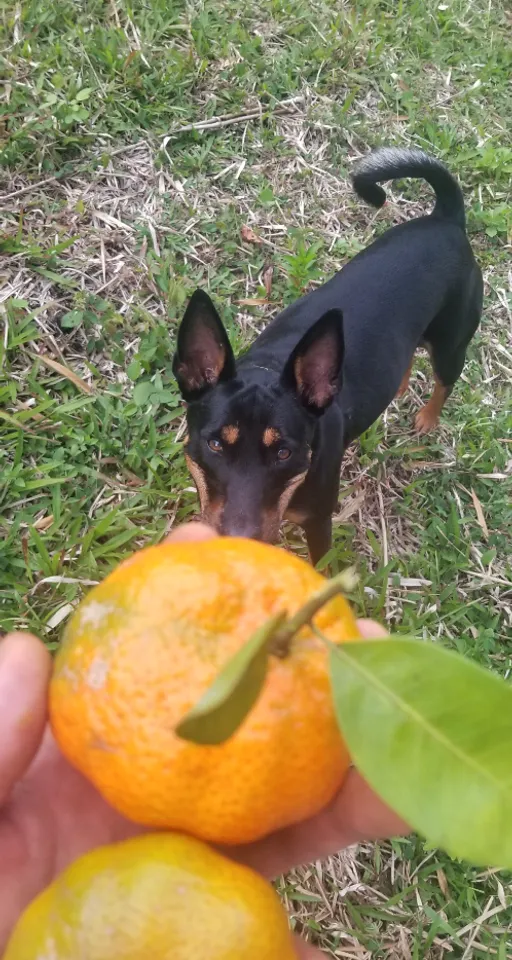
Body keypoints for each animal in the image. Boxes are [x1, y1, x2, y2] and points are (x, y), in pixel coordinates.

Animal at [174, 147, 482, 568]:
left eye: (284, 452)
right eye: (215, 445)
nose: (239, 545)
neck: (269, 368)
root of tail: (447, 219)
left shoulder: (319, 523)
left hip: (451, 344)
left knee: (445, 380)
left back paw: (427, 419)